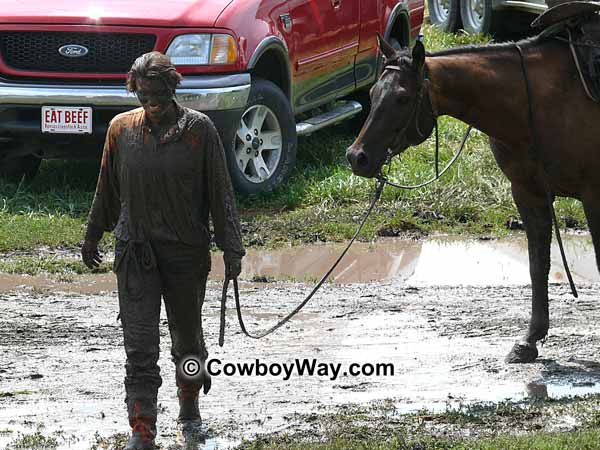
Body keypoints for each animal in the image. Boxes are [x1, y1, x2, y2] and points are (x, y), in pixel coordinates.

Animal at [344, 33, 600, 364]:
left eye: (402, 98)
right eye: (373, 93)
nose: (356, 157)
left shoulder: (593, 195)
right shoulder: (527, 192)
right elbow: (537, 265)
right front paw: (528, 341)